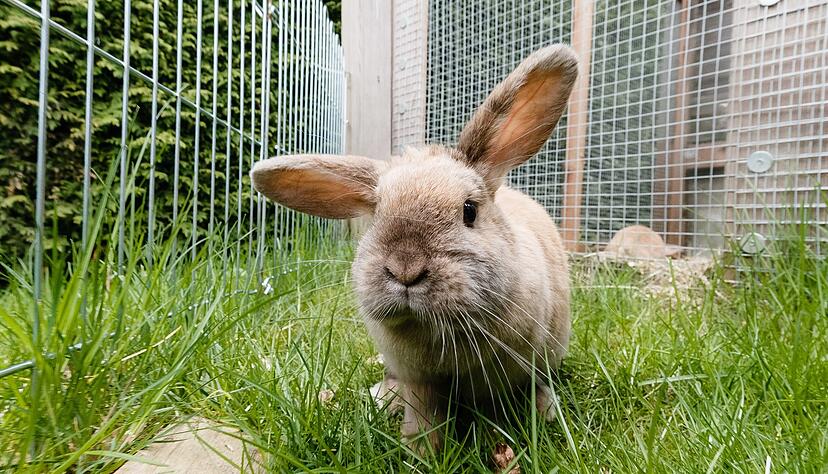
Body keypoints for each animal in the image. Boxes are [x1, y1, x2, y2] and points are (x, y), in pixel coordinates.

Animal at [251, 44, 578, 450]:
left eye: (469, 211)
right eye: (376, 216)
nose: (405, 269)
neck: (436, 332)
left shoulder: (504, 373)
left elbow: (501, 407)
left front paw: (502, 440)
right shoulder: (419, 380)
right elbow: (425, 416)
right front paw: (421, 451)